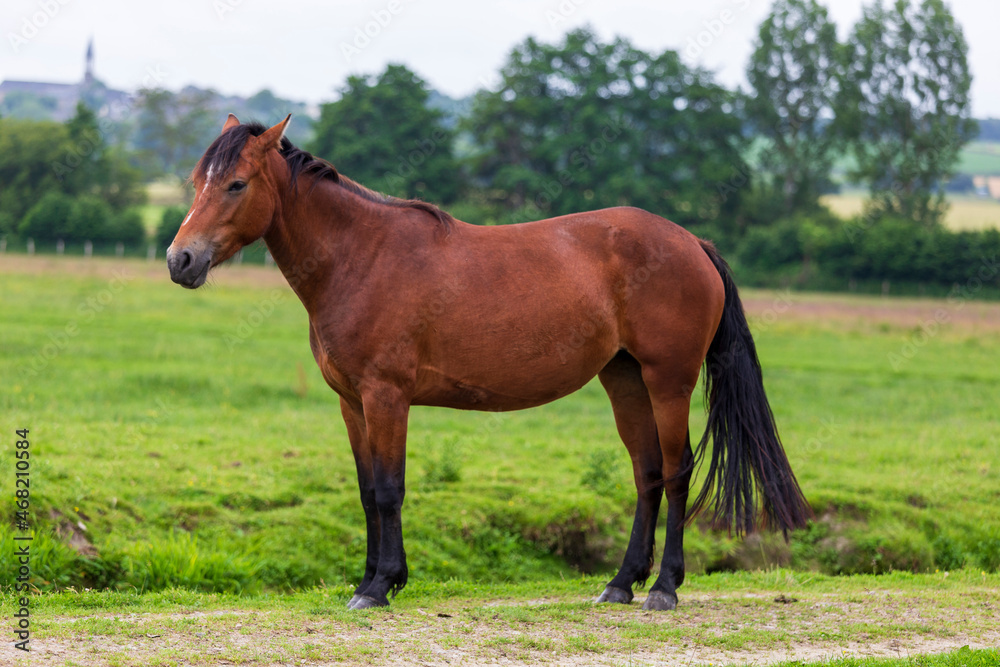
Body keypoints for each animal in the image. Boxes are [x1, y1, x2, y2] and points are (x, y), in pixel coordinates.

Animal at [168, 113, 812, 612]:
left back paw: (664, 588)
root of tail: (691, 243)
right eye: (198, 181)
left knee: (676, 474)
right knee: (647, 474)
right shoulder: (352, 402)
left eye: (237, 184)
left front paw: (381, 586)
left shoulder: (386, 397)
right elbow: (366, 490)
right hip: (625, 380)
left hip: (667, 382)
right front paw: (370, 578)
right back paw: (621, 583)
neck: (360, 257)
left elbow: (389, 489)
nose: (181, 260)